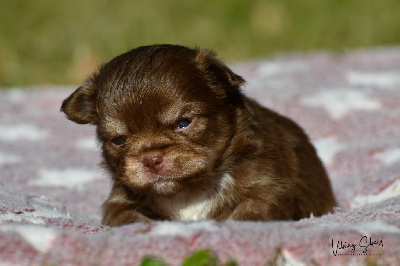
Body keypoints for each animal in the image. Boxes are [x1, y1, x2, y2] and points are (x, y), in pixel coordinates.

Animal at [60, 44, 334, 227]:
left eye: (184, 122)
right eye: (118, 140)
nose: (151, 159)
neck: (188, 191)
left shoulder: (268, 188)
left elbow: (249, 215)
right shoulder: (120, 202)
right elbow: (128, 218)